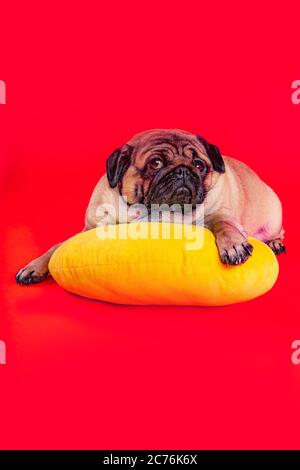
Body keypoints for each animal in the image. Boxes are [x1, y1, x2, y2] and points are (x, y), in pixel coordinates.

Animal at [15, 126, 284, 286]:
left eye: (199, 165)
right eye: (156, 163)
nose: (183, 170)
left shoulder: (220, 213)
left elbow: (224, 224)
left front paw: (233, 245)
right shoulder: (89, 229)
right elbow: (56, 247)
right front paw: (34, 266)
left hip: (274, 215)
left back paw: (275, 243)